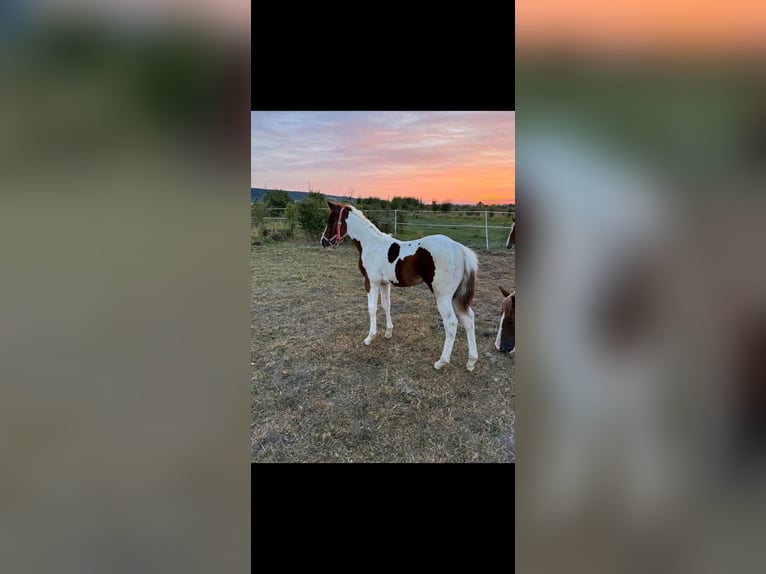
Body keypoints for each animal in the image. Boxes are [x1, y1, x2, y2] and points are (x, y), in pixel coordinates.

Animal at [320, 200, 480, 371]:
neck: (371, 245)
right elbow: (386, 305)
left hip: (443, 296)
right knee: (468, 319)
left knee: (451, 323)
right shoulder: (384, 283)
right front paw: (388, 332)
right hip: (456, 296)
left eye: (331, 221)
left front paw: (369, 338)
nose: (323, 241)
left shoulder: (371, 282)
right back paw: (471, 361)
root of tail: (460, 249)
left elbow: (372, 308)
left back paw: (441, 362)